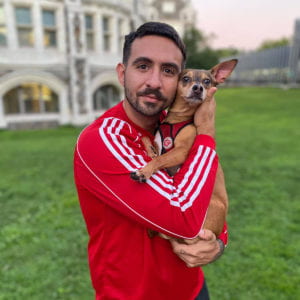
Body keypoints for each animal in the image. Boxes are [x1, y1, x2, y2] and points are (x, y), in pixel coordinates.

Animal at [130, 59, 238, 244]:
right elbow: (148, 143)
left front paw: (144, 172)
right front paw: (148, 149)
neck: (178, 118)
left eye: (207, 81)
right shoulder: (159, 144)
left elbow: (159, 159)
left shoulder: (180, 151)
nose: (198, 88)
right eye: (186, 78)